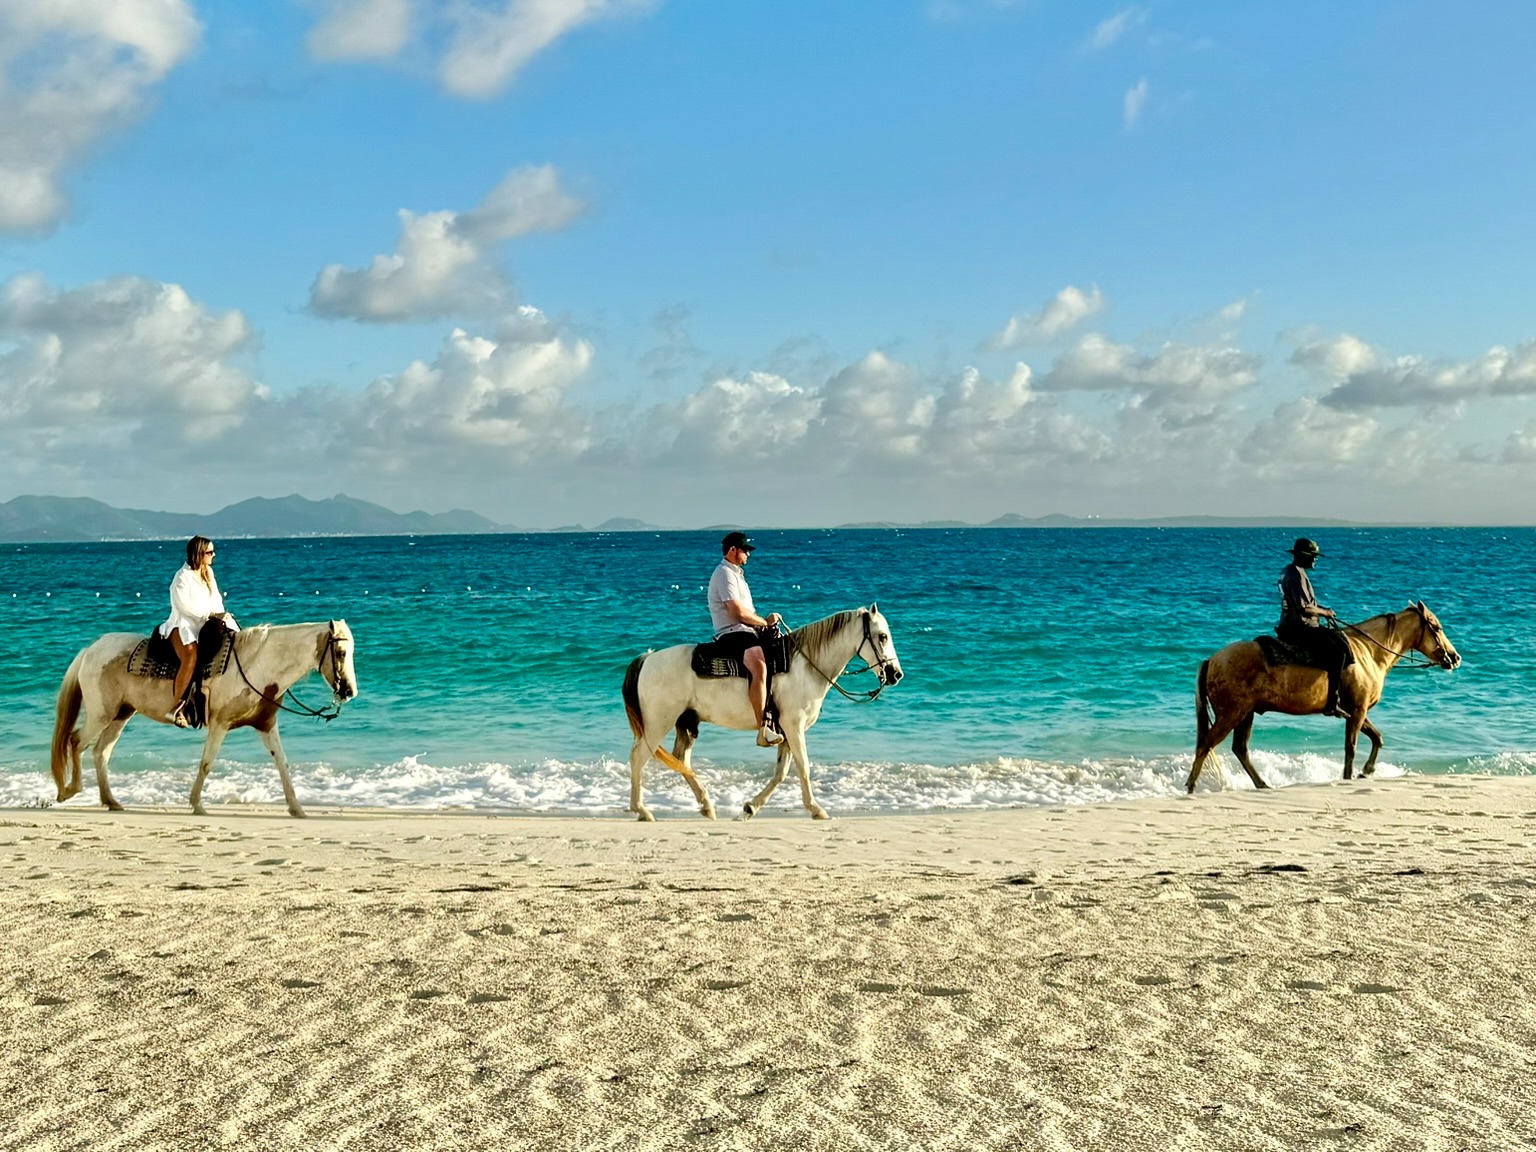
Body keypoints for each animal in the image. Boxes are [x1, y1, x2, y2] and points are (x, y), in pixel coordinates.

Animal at [49, 621, 358, 818]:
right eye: (341, 652)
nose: (349, 691)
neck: (257, 666)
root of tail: (91, 650)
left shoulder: (266, 725)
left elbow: (282, 764)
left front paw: (297, 809)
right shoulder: (220, 725)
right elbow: (207, 763)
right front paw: (197, 804)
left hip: (121, 713)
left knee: (101, 752)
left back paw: (111, 801)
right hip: (101, 713)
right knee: (76, 742)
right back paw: (69, 790)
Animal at [622, 606, 903, 822]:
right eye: (882, 636)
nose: (895, 674)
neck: (805, 666)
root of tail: (647, 659)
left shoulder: (786, 732)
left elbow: (781, 773)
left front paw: (750, 808)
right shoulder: (794, 726)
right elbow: (803, 767)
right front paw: (817, 809)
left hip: (686, 723)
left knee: (681, 760)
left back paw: (706, 805)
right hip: (658, 724)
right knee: (638, 757)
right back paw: (642, 810)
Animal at [1186, 601, 1459, 794]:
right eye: (1436, 627)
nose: (1455, 657)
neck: (1368, 652)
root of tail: (1212, 660)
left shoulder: (1356, 711)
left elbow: (1377, 738)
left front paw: (1366, 771)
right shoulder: (1357, 711)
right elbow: (1351, 746)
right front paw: (1350, 776)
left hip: (1246, 714)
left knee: (1240, 749)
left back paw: (1262, 784)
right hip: (1231, 714)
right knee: (1206, 745)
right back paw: (1190, 786)